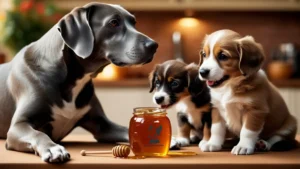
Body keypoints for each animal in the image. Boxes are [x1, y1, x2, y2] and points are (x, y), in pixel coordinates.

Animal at [0, 2, 158, 163]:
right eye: (113, 22)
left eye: (134, 22)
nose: (153, 45)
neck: (73, 80)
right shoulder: (18, 125)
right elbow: (38, 133)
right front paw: (52, 148)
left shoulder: (102, 125)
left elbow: (127, 129)